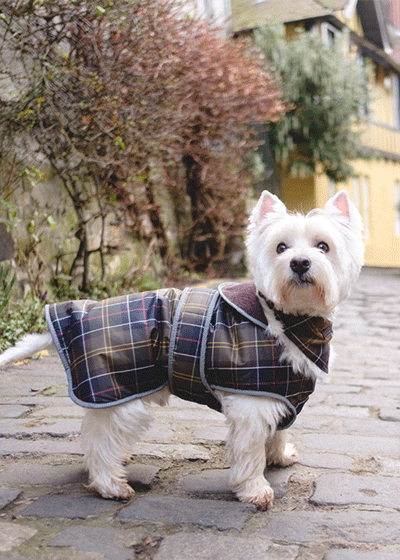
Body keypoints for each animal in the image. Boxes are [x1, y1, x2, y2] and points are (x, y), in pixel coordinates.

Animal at [0, 190, 362, 510]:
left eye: (323, 246)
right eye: (281, 247)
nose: (299, 263)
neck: (289, 319)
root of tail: (75, 317)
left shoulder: (280, 394)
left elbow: (277, 433)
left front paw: (280, 456)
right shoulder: (251, 405)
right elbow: (250, 453)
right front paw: (255, 490)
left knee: (92, 434)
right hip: (121, 396)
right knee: (101, 442)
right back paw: (110, 485)